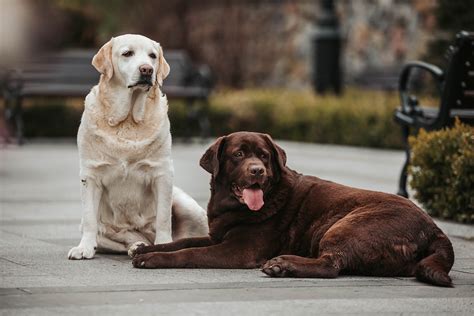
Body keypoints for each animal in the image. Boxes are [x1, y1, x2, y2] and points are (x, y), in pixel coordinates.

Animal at [67, 34, 208, 260]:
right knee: (125, 237)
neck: (127, 121)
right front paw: (84, 248)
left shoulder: (163, 173)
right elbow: (89, 217)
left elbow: (163, 218)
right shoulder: (90, 174)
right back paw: (137, 246)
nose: (147, 70)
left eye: (152, 56)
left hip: (188, 206)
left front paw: (163, 245)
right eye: (127, 53)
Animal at [131, 131, 456, 286]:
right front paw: (145, 248)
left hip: (347, 223)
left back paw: (283, 265)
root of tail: (435, 228)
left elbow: (189, 252)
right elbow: (181, 241)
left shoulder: (237, 250)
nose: (257, 171)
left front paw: (152, 259)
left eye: (264, 155)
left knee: (331, 264)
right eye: (239, 155)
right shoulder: (216, 236)